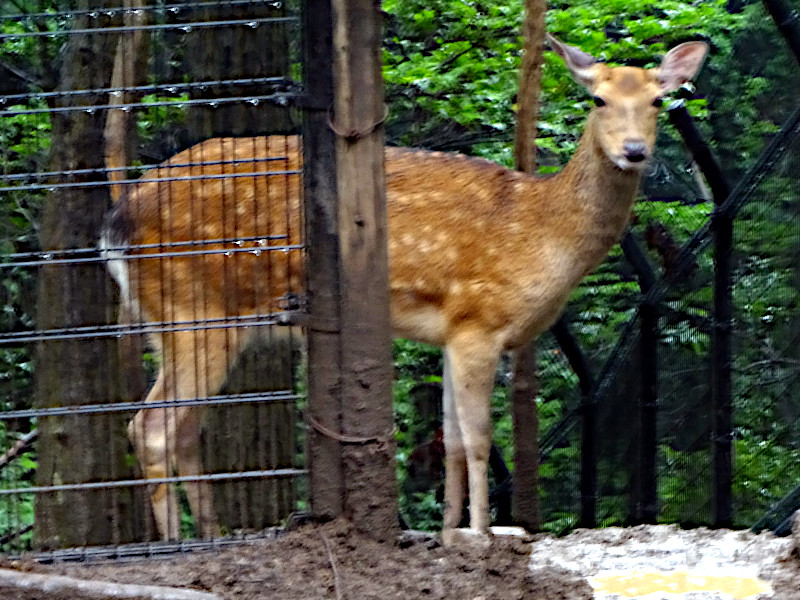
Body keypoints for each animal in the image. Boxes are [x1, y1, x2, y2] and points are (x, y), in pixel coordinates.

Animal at [100, 36, 708, 544]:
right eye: (599, 99)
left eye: (658, 101)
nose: (634, 150)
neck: (541, 234)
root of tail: (117, 223)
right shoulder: (480, 321)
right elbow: (480, 438)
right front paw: (484, 534)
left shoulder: (452, 332)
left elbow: (453, 440)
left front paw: (449, 532)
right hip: (192, 308)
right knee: (150, 425)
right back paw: (176, 545)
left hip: (185, 322)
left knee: (182, 429)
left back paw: (212, 534)